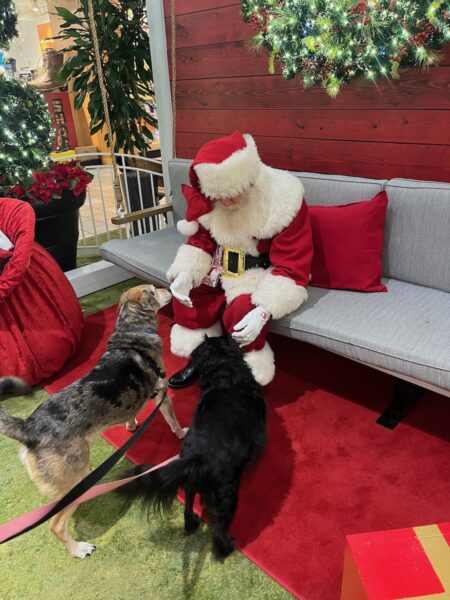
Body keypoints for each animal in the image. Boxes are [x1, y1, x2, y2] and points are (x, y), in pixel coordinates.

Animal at [119, 336, 268, 560]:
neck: (226, 376)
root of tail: (196, 458)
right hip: (227, 492)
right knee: (218, 527)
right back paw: (226, 548)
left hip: (190, 486)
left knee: (188, 509)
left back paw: (192, 525)